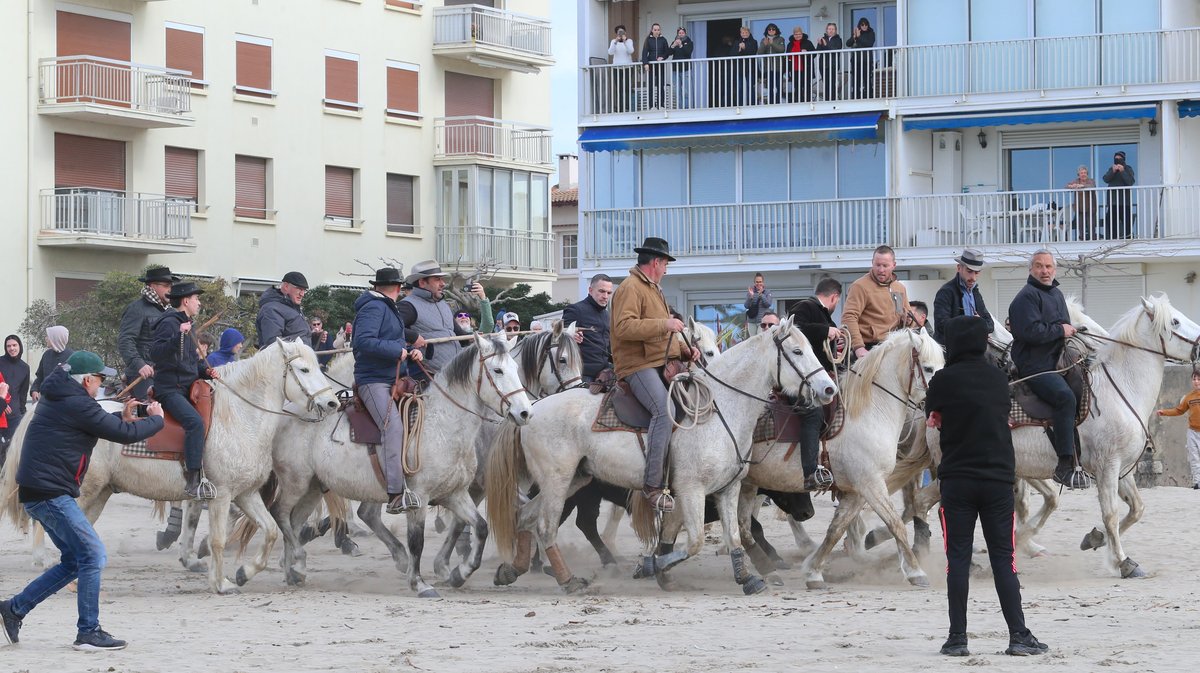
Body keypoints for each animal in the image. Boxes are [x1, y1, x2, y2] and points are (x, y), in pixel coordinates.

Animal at [4, 338, 343, 590]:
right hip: (82, 491)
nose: (332, 402)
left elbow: (271, 530)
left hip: (99, 494)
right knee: (48, 524)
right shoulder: (221, 495)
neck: (239, 416)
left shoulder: (245, 494)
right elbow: (218, 539)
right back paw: (46, 561)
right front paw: (221, 583)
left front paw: (244, 572)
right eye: (303, 368)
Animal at [260, 333, 528, 595]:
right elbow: (417, 541)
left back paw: (294, 570)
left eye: (515, 368)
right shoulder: (419, 496)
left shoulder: (455, 493)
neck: (441, 424)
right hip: (295, 481)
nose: (525, 412)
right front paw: (419, 583)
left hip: (313, 487)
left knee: (295, 520)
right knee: (280, 513)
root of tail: (287, 411)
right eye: (497, 370)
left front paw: (458, 574)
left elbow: (480, 527)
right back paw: (298, 562)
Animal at [482, 319, 840, 592]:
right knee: (544, 526)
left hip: (575, 480)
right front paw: (650, 566)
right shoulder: (692, 490)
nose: (829, 390)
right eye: (797, 351)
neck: (719, 408)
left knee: (525, 517)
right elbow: (694, 542)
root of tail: (531, 408)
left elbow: (735, 536)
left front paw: (747, 578)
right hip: (557, 482)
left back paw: (512, 570)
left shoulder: (729, 489)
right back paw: (568, 580)